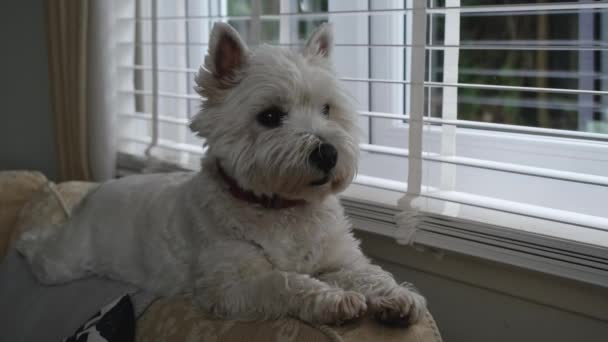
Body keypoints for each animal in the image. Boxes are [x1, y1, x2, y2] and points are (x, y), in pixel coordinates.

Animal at [19, 23, 428, 326]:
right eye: (270, 116)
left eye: (327, 109)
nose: (328, 153)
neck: (284, 209)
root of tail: (96, 192)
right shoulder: (232, 283)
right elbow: (285, 281)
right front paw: (334, 301)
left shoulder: (341, 259)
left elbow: (370, 274)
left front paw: (398, 297)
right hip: (65, 261)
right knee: (41, 252)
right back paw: (26, 240)